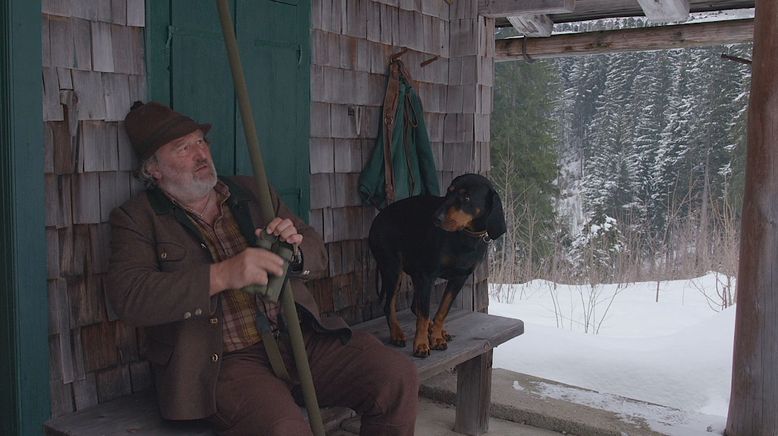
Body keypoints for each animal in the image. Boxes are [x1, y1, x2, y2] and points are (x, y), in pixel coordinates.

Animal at [366, 174, 506, 358]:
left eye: (467, 197)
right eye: (448, 192)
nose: (436, 218)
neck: (465, 237)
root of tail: (378, 218)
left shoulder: (459, 277)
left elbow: (442, 311)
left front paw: (437, 337)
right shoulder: (427, 275)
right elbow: (424, 314)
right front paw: (421, 344)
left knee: (414, 305)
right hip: (392, 268)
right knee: (390, 305)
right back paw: (397, 334)